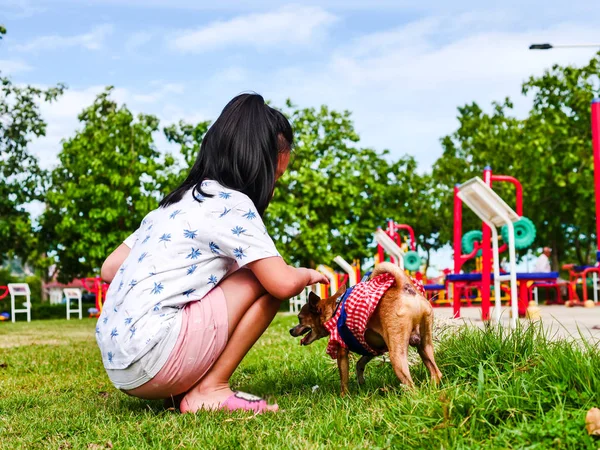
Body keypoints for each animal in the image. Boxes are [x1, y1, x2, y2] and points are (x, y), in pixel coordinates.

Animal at [290, 262, 440, 396]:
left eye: (300, 319)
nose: (291, 330)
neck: (335, 308)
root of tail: (405, 286)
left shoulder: (342, 352)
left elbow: (344, 378)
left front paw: (344, 396)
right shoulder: (371, 349)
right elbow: (359, 364)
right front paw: (361, 382)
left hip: (397, 355)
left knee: (410, 384)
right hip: (425, 346)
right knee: (436, 372)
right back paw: (433, 389)